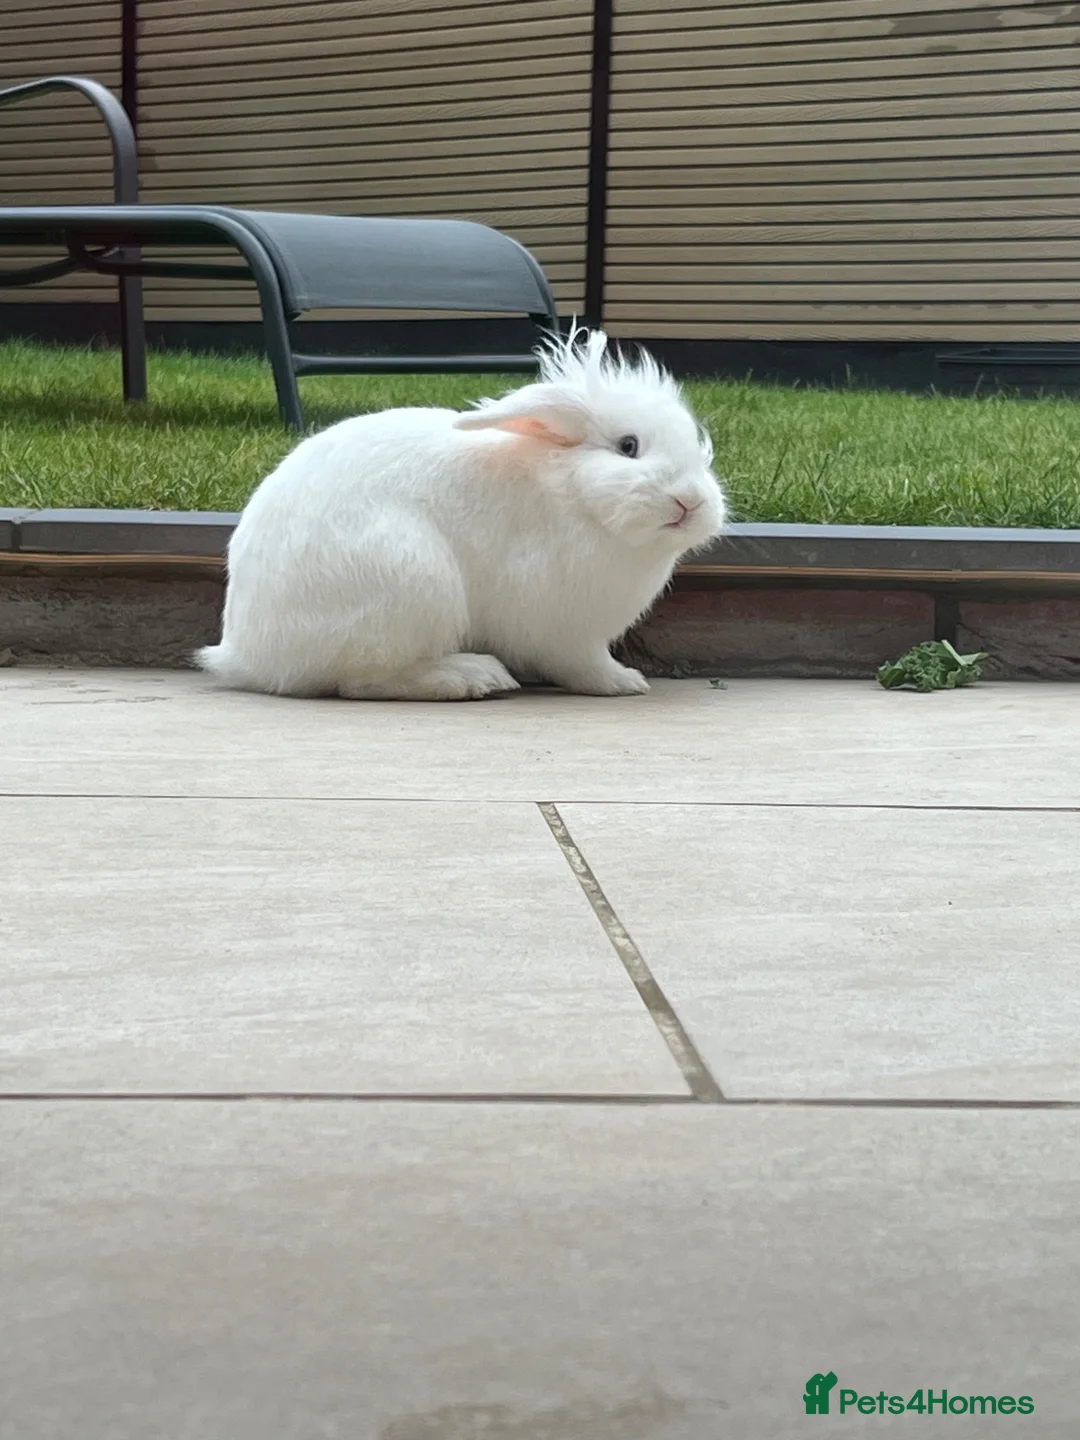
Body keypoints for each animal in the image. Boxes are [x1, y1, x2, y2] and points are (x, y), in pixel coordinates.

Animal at [195, 326, 727, 701]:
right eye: (628, 446)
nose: (692, 502)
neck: (569, 490)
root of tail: (249, 655)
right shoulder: (563, 629)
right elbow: (581, 665)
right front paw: (624, 682)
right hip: (411, 582)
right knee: (363, 681)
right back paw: (472, 677)